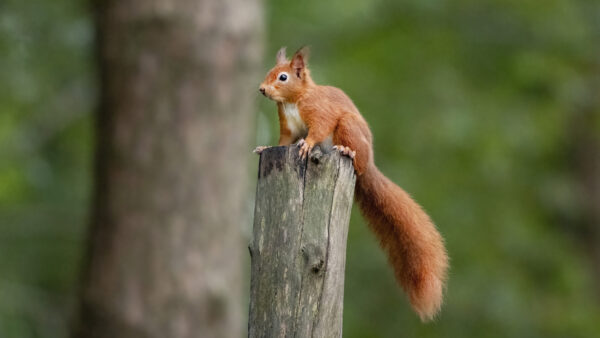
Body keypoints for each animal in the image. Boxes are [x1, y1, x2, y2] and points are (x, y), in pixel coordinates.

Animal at [255, 46, 448, 320]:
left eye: (283, 77)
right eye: (269, 72)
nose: (262, 89)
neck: (293, 101)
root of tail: (370, 164)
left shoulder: (320, 112)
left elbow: (318, 129)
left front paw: (306, 144)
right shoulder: (287, 127)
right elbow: (283, 142)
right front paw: (264, 148)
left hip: (348, 127)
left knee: (353, 153)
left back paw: (347, 151)